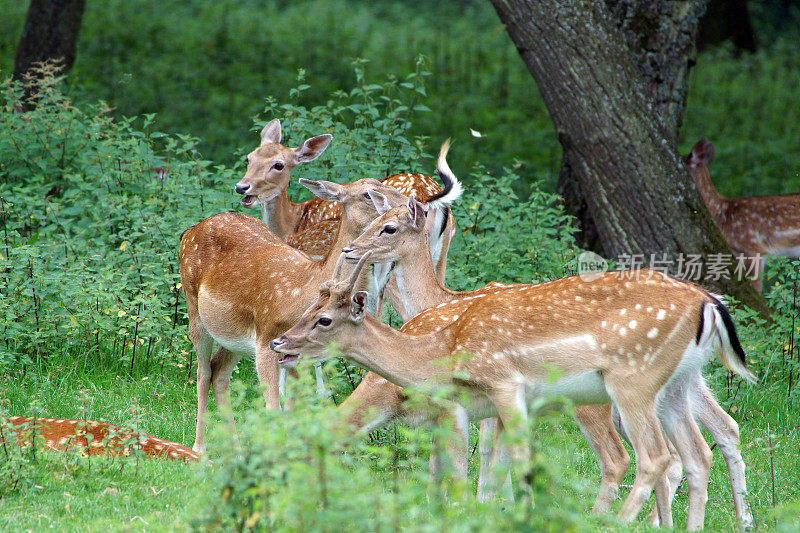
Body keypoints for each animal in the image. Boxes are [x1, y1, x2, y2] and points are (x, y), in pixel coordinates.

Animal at [338, 198, 756, 528]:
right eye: (374, 220)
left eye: (388, 227)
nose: (350, 250)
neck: (436, 303)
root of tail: (710, 301)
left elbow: (486, 449)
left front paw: (485, 504)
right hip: (684, 381)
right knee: (719, 431)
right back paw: (740, 520)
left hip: (607, 399)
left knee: (640, 457)